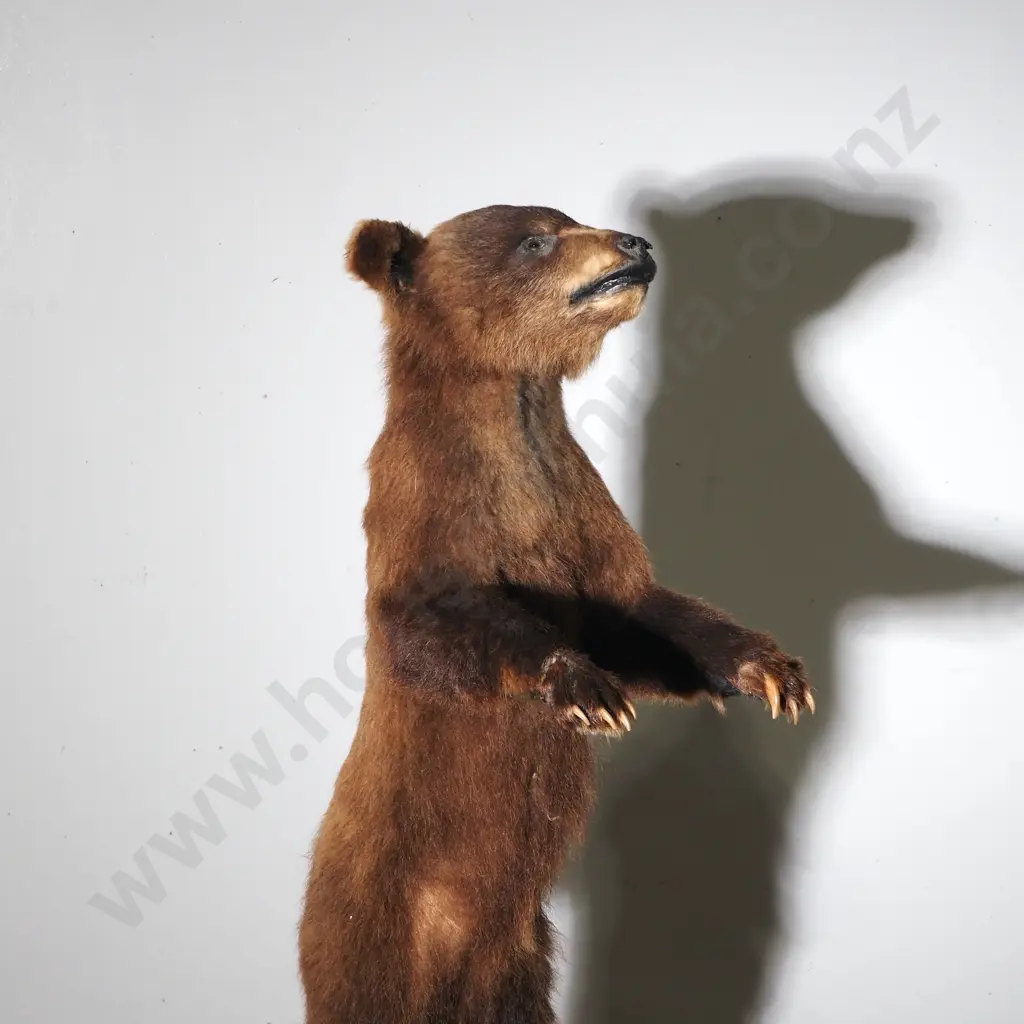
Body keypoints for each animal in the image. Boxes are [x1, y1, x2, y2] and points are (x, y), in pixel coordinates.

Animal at [298, 204, 814, 1024]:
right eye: (535, 239)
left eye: (566, 218)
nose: (632, 243)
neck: (516, 419)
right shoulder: (429, 515)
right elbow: (427, 630)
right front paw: (582, 688)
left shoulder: (577, 514)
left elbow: (637, 617)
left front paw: (770, 670)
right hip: (373, 933)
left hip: (523, 963)